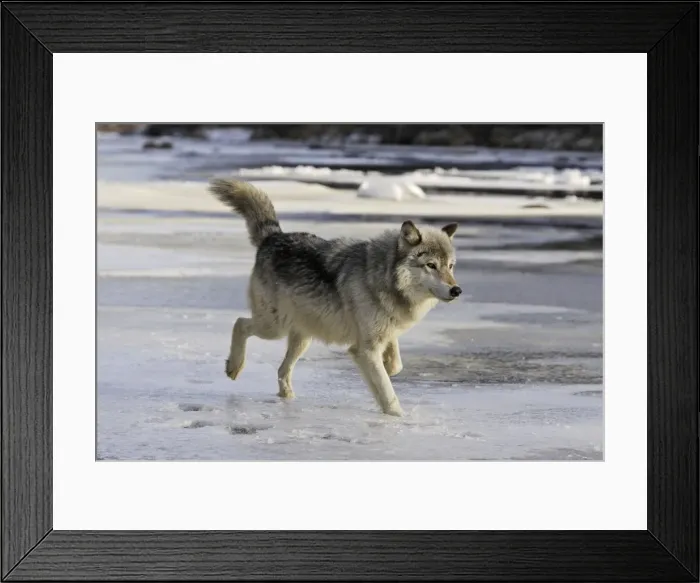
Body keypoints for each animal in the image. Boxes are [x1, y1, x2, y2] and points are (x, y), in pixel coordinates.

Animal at [208, 179, 462, 416]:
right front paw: (398, 418)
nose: (456, 290)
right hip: (274, 327)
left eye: (450, 266)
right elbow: (388, 393)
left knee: (282, 369)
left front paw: (389, 367)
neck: (381, 277)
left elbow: (396, 363)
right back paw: (234, 366)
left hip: (302, 336)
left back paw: (288, 398)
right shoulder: (365, 350)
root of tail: (274, 236)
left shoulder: (383, 333)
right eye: (431, 265)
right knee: (240, 324)